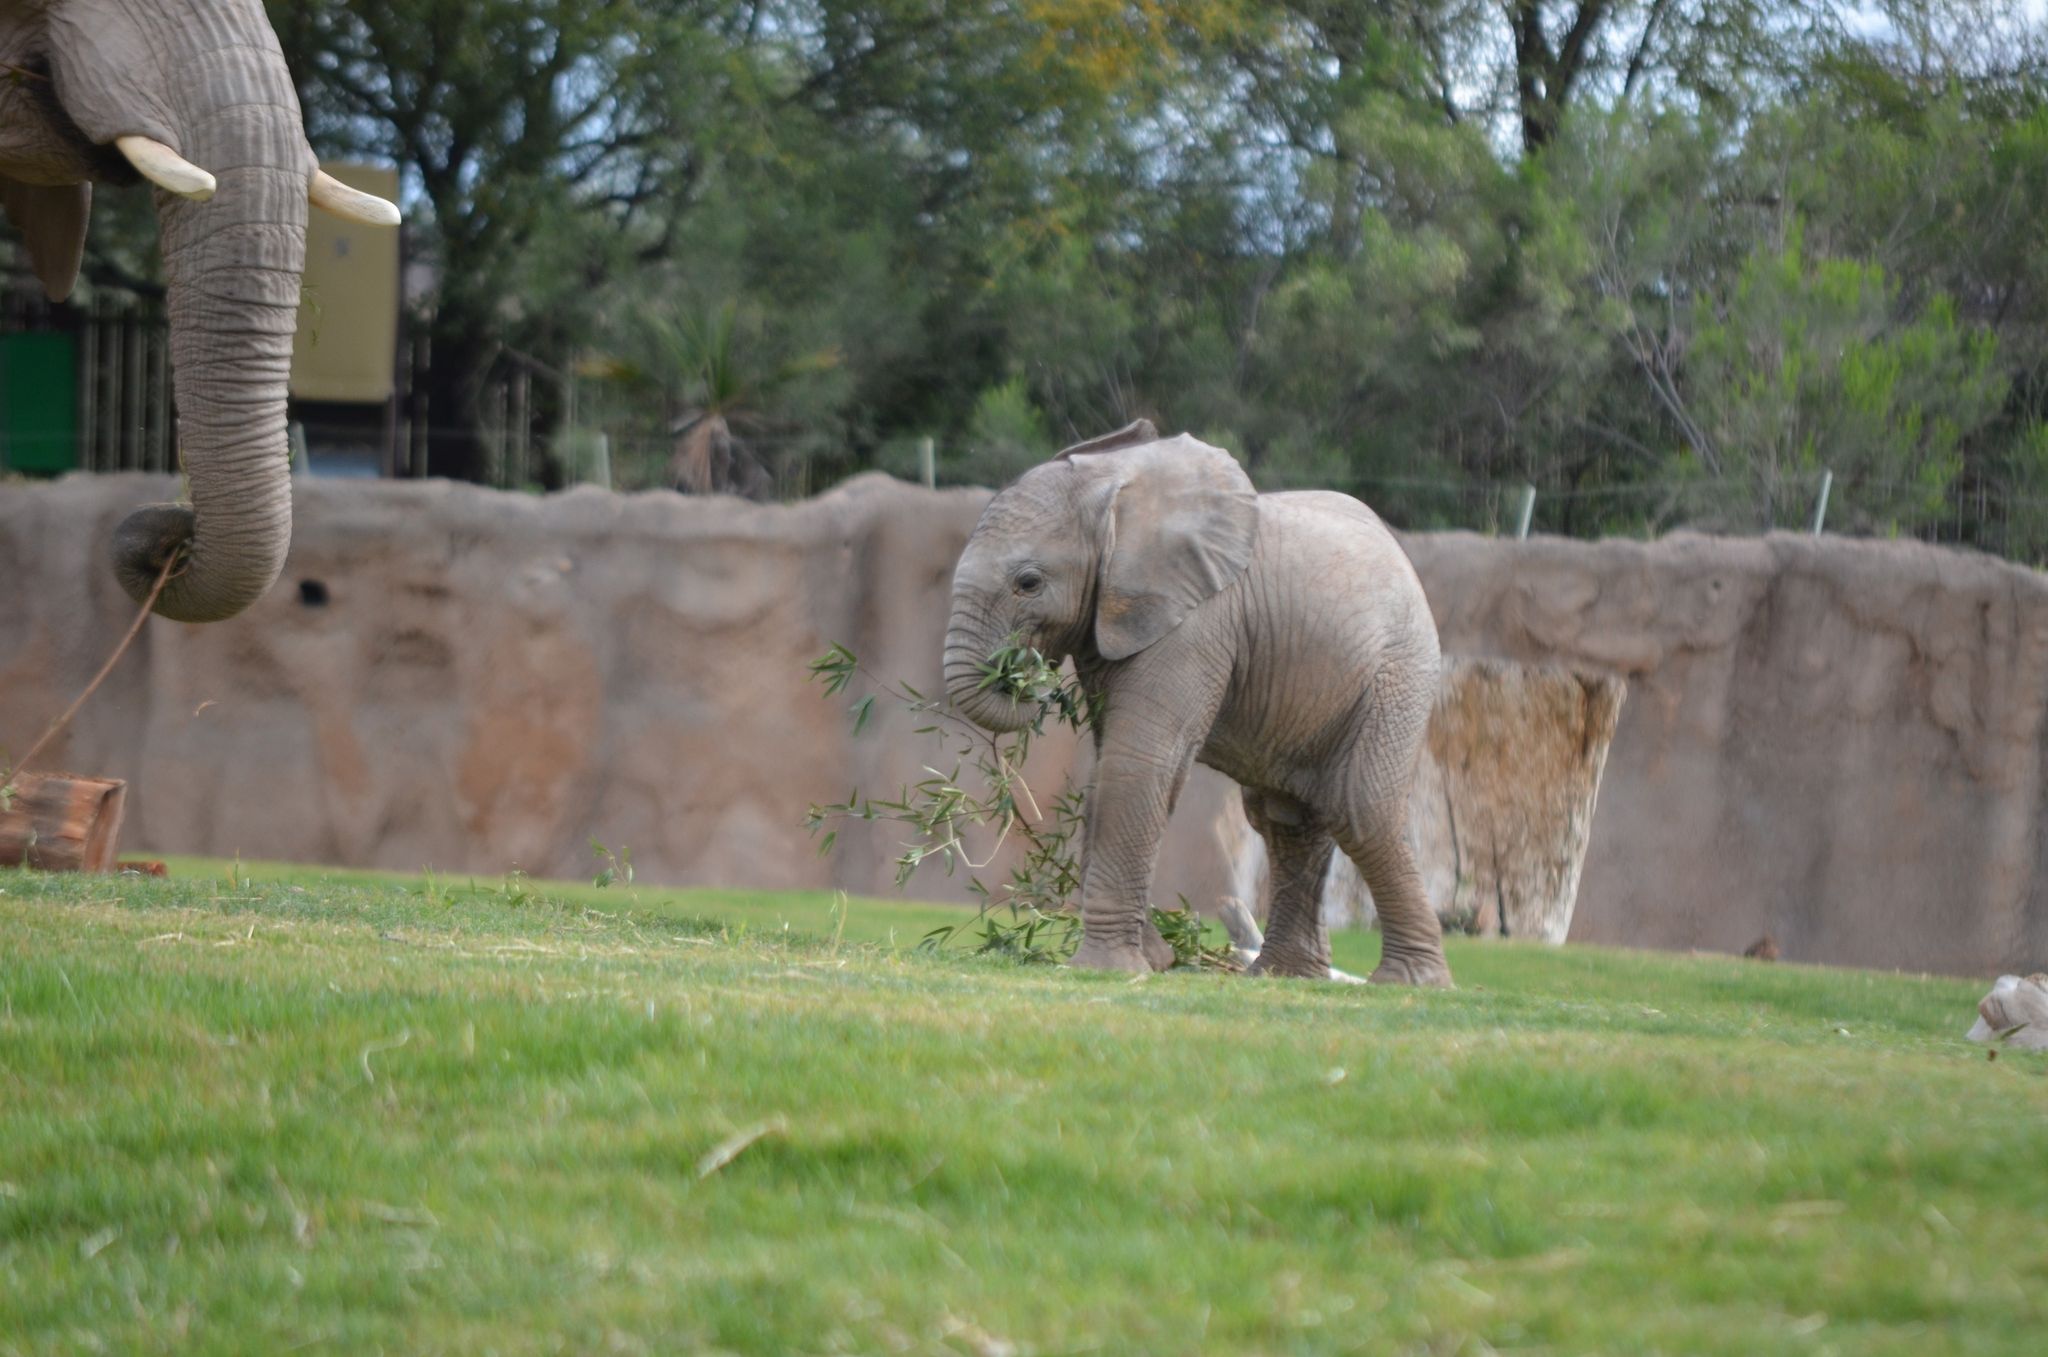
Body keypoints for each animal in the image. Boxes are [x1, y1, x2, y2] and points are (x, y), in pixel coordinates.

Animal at [937, 419, 1441, 982]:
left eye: (1028, 583)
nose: (1024, 674)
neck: (1116, 491)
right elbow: (1111, 763)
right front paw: (1155, 959)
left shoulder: (1197, 621)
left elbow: (1139, 760)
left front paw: (1109, 969)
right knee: (1286, 820)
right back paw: (1281, 975)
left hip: (1396, 675)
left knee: (1360, 812)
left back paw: (1411, 980)